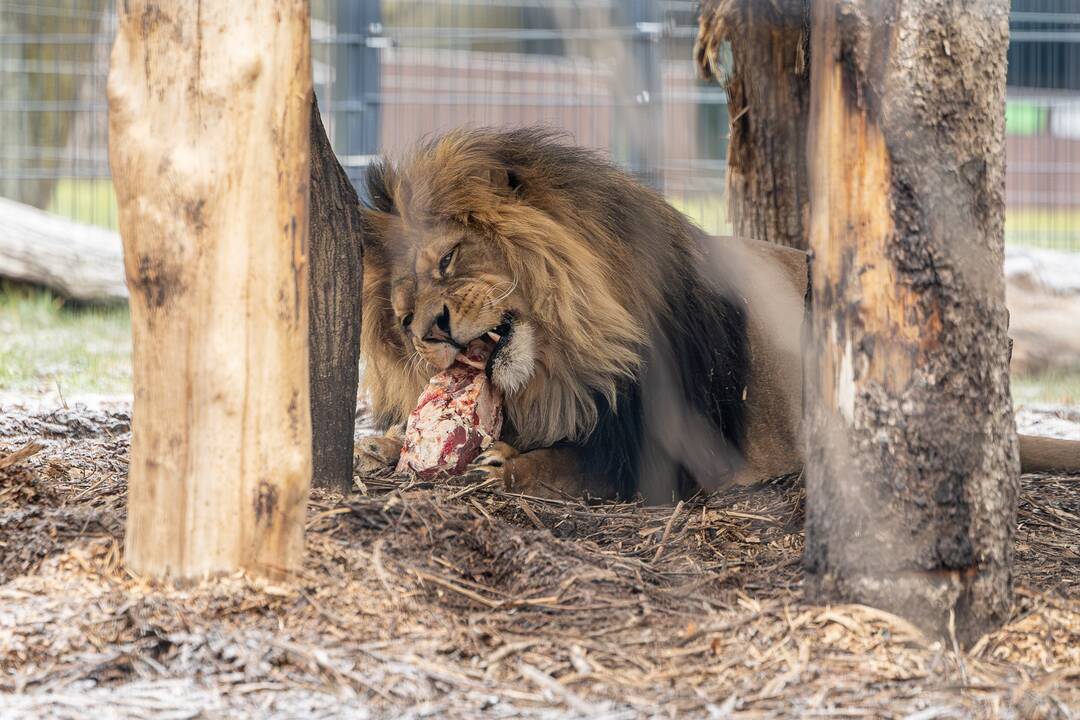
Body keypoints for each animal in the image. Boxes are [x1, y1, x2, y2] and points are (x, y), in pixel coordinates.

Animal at [354, 127, 1080, 500]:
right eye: (402, 315)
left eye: (449, 259)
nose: (433, 331)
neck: (567, 360)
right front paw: (384, 444)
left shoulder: (671, 448)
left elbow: (580, 464)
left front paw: (513, 464)